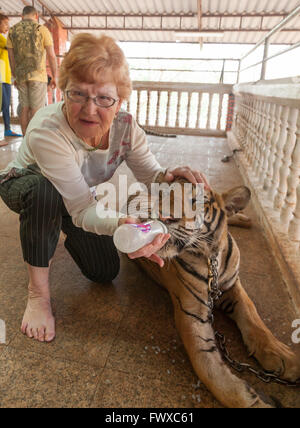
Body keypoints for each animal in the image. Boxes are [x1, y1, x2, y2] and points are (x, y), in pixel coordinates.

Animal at [127, 173, 300, 408]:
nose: (163, 217)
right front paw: (253, 400)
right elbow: (212, 370)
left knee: (230, 213)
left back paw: (243, 218)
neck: (210, 257)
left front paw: (284, 358)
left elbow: (254, 318)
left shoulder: (233, 286)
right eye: (162, 196)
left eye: (196, 201)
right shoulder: (192, 314)